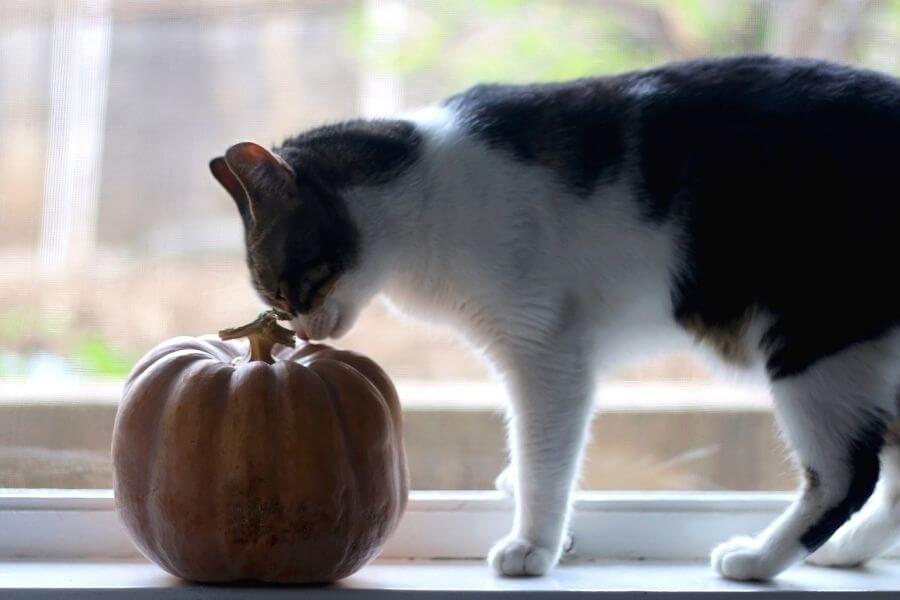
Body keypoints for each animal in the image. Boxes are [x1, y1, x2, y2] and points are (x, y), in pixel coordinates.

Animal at [209, 56, 900, 580]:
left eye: (284, 288)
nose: (301, 332)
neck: (422, 192)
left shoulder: (545, 351)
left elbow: (545, 451)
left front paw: (533, 544)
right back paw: (844, 553)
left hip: (812, 341)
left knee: (848, 475)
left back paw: (757, 559)